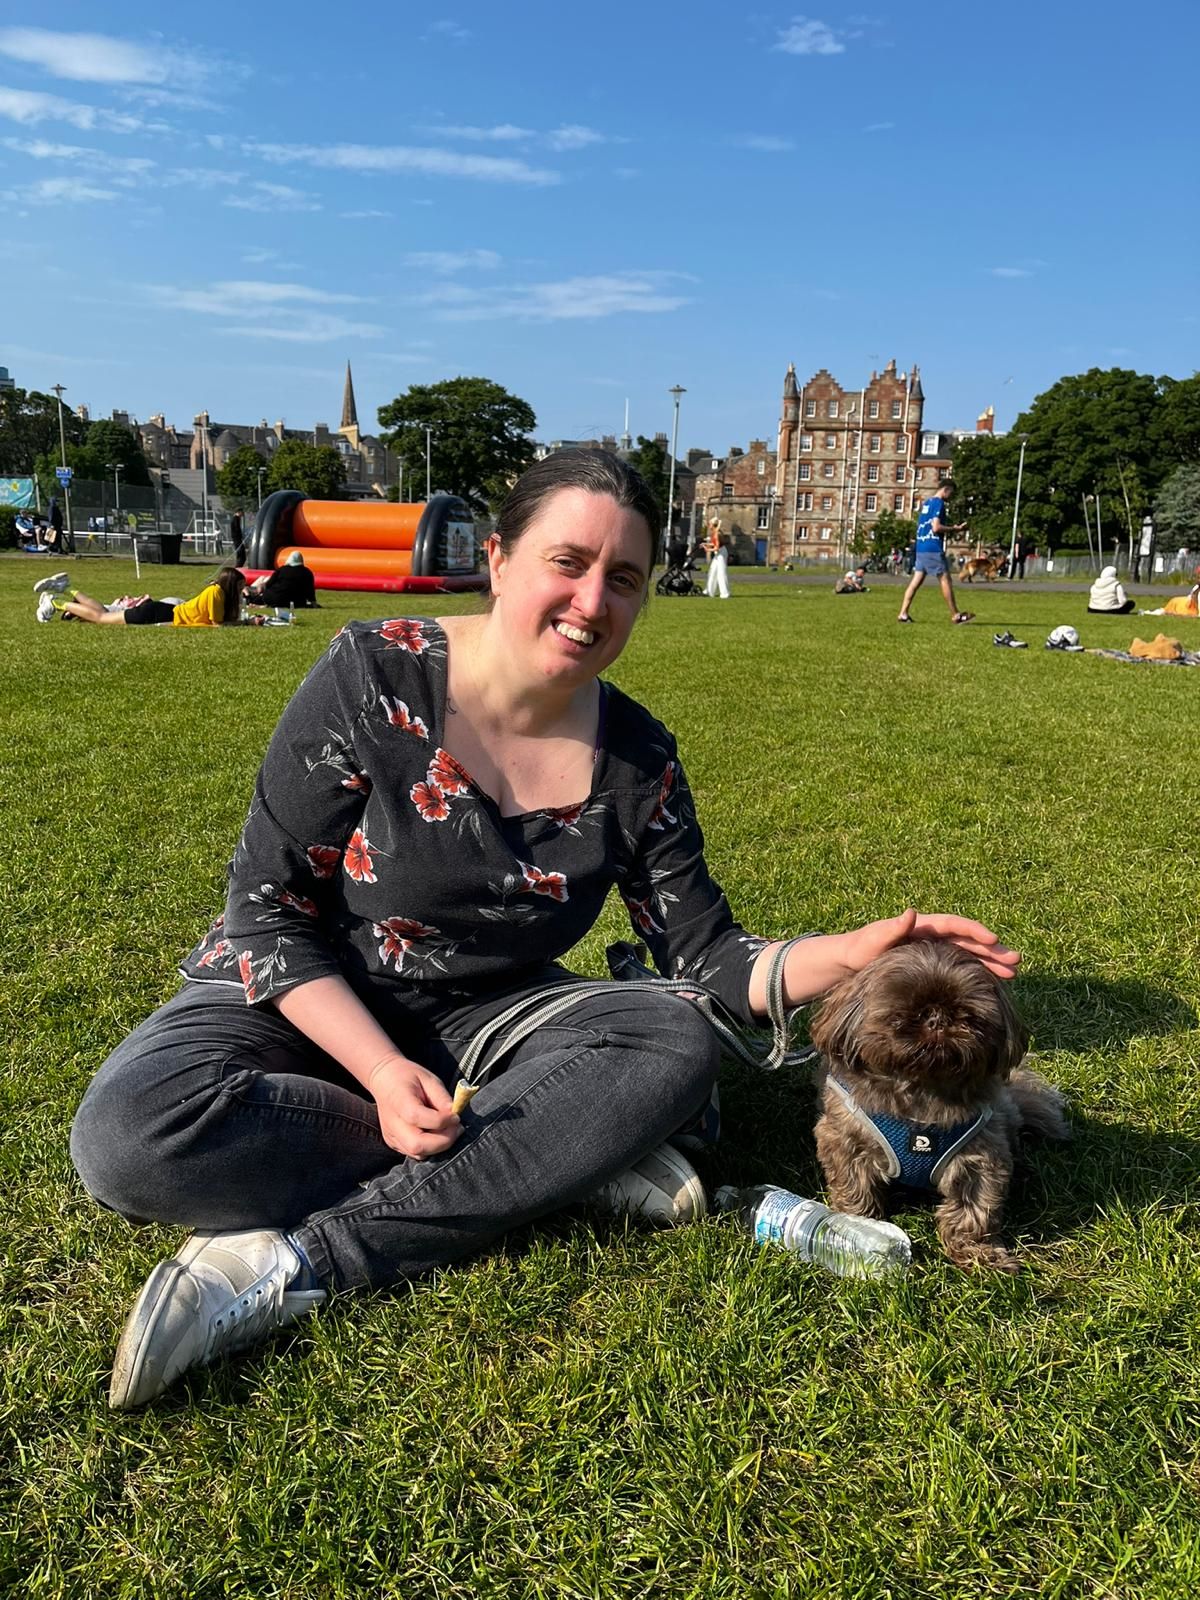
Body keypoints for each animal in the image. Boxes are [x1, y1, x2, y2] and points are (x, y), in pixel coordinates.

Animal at [809, 934, 1068, 1273]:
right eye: (902, 1011)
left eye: (967, 1013)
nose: (936, 1017)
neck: (922, 1088)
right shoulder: (844, 1141)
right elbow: (855, 1188)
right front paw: (855, 1229)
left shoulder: (981, 1158)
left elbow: (973, 1211)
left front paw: (978, 1253)